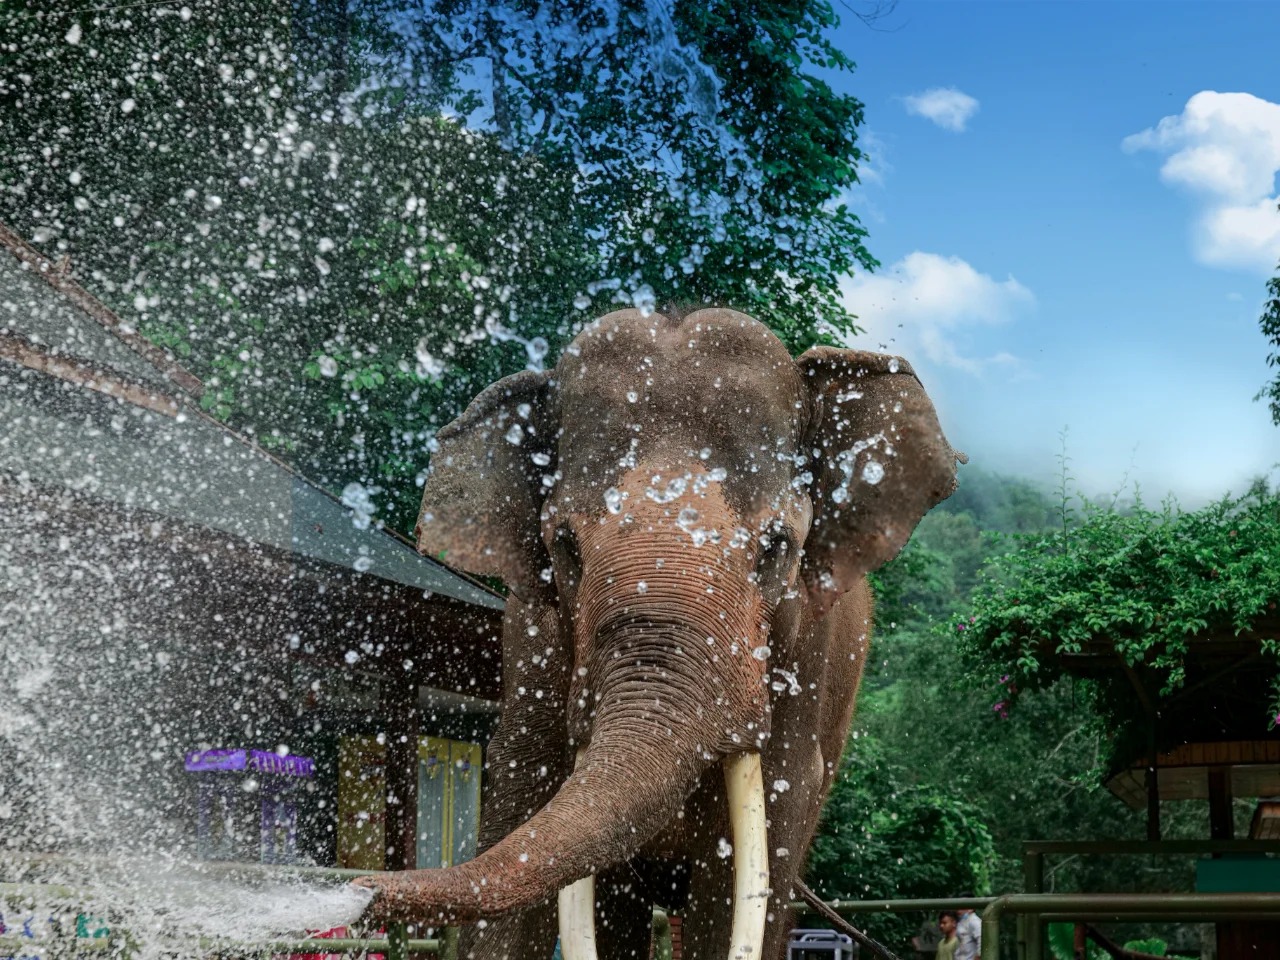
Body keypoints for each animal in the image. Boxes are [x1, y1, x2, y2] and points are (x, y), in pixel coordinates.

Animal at [356, 307, 962, 960]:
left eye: (778, 548)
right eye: (563, 549)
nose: (358, 892)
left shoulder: (806, 658)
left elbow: (742, 870)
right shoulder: (533, 642)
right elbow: (523, 797)